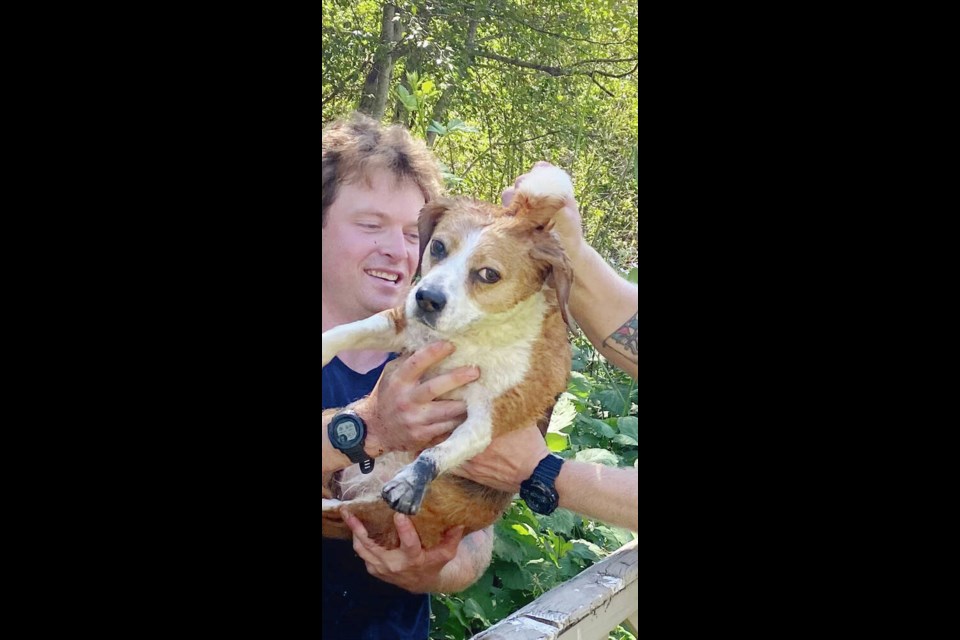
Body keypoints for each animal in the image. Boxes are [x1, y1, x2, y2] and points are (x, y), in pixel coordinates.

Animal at [322, 165, 576, 552]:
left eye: (488, 274)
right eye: (438, 246)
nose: (427, 298)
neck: (467, 338)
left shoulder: (491, 416)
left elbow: (440, 451)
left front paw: (413, 479)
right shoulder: (400, 325)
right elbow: (346, 331)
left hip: (375, 512)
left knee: (340, 511)